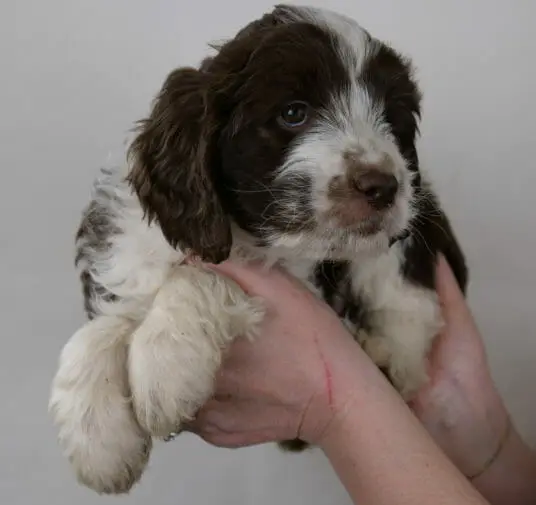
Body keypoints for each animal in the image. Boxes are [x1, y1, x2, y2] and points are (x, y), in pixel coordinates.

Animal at [50, 2, 468, 492]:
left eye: (392, 119)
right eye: (293, 113)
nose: (384, 186)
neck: (242, 233)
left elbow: (199, 277)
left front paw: (165, 365)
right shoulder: (127, 251)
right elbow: (103, 326)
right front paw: (97, 436)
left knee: (411, 313)